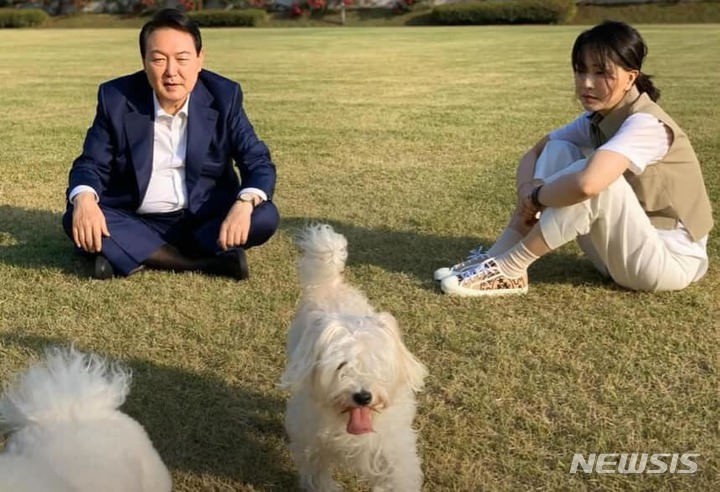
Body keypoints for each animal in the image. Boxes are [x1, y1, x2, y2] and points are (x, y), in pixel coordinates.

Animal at [280, 224, 428, 492]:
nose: (363, 396)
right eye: (341, 366)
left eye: (376, 364)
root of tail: (330, 284)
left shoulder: (393, 446)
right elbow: (318, 474)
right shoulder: (313, 444)